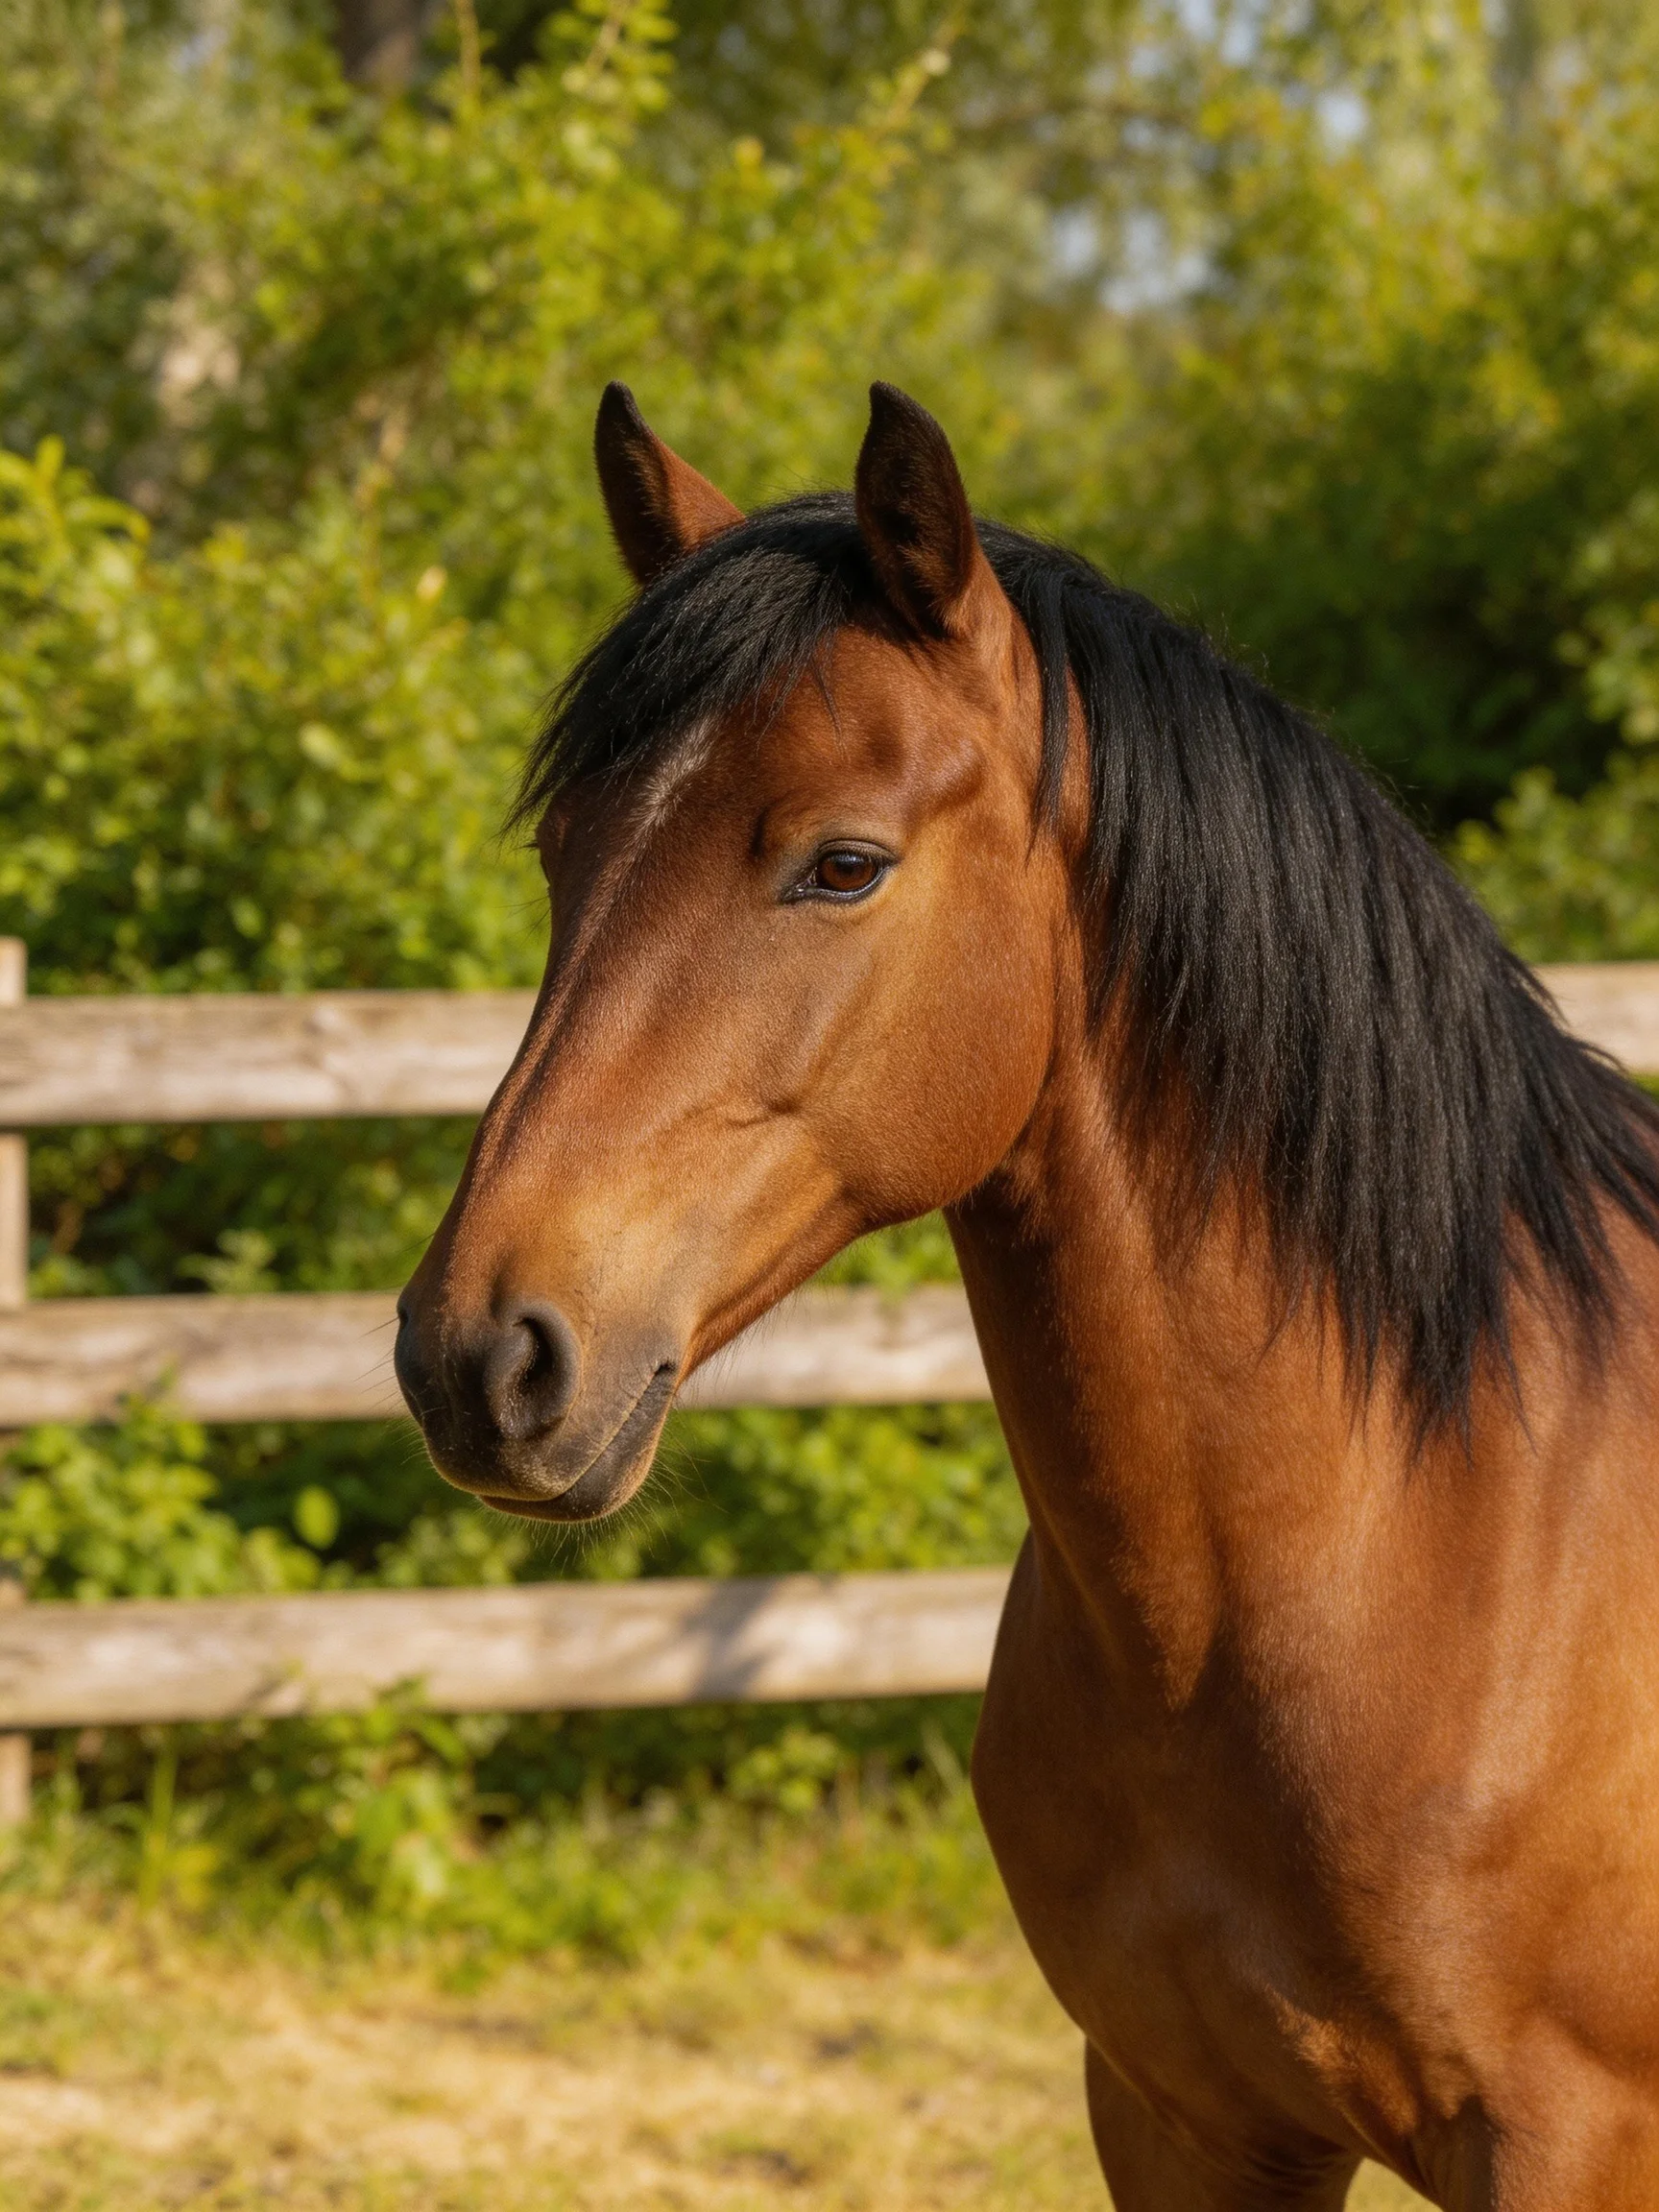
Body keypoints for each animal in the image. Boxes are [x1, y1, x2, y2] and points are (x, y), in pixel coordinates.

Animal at [396, 380, 1659, 2209]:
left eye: (843, 864)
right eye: (568, 853)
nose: (479, 1354)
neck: (1423, 1538)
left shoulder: (1572, 2149)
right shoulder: (1180, 2116)